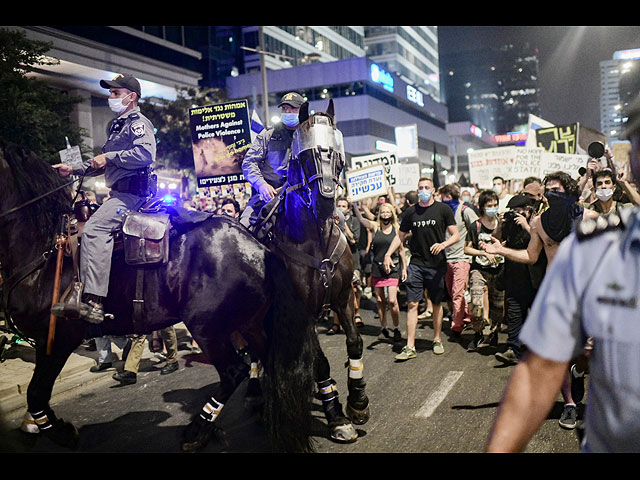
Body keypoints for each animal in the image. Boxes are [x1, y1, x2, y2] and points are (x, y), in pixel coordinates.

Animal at [0, 140, 318, 454]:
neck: (45, 253)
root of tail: (258, 247)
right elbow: (37, 393)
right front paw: (33, 427)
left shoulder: (56, 338)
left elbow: (36, 393)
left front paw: (59, 431)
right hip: (251, 324)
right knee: (268, 362)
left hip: (208, 327)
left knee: (233, 370)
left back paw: (197, 430)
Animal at [268, 101, 372, 442]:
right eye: (305, 156)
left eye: (338, 157)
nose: (326, 200)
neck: (314, 239)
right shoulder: (301, 312)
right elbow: (320, 362)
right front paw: (336, 415)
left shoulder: (342, 297)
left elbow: (355, 342)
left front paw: (357, 400)